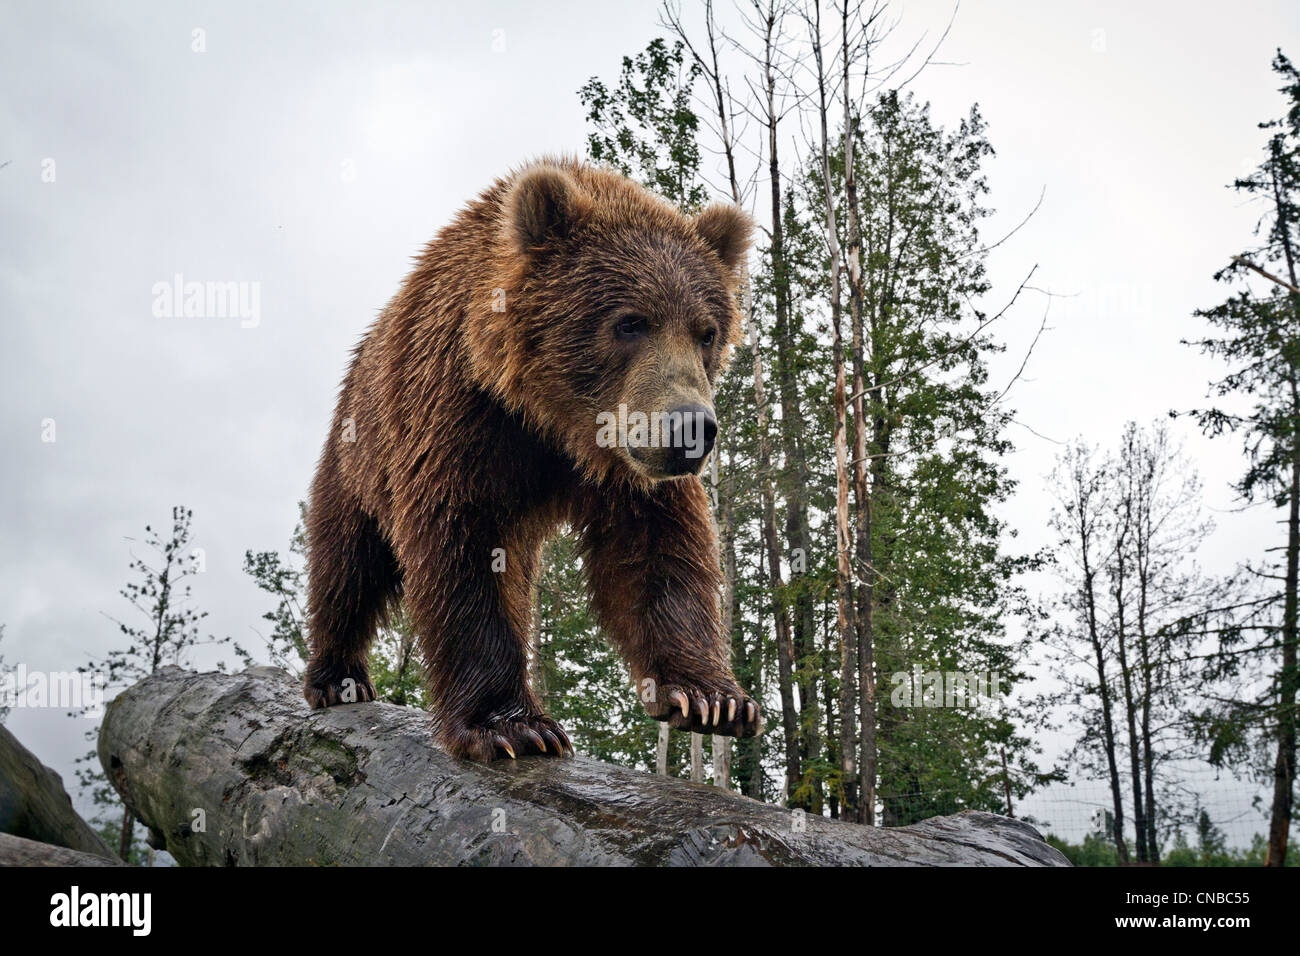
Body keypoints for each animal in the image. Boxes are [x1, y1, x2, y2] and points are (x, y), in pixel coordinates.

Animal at [302, 157, 761, 762]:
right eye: (630, 321)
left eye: (706, 332)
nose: (690, 429)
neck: (555, 424)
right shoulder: (459, 418)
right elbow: (461, 548)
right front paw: (511, 725)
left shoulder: (627, 472)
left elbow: (658, 551)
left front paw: (711, 699)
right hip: (359, 454)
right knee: (346, 562)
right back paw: (337, 677)